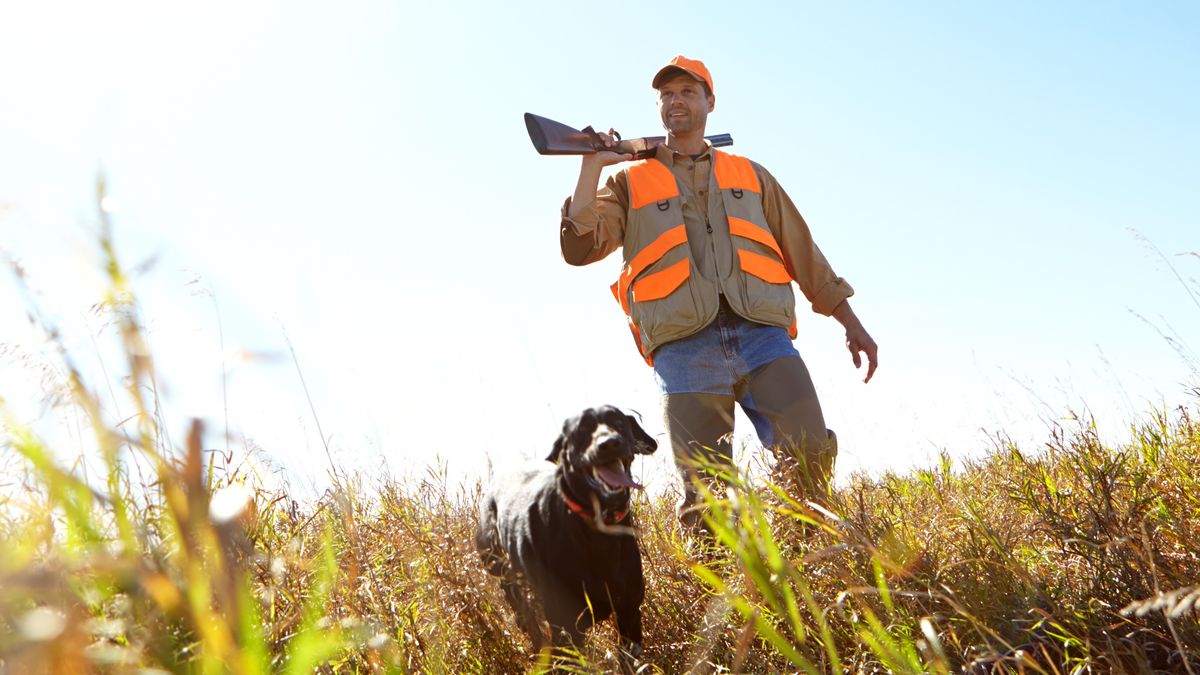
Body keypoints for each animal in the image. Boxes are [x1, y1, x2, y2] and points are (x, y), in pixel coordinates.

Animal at [472, 403, 657, 662]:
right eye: (581, 430)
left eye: (618, 422)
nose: (609, 443)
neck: (596, 534)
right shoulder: (565, 630)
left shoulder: (629, 614)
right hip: (502, 573)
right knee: (525, 615)